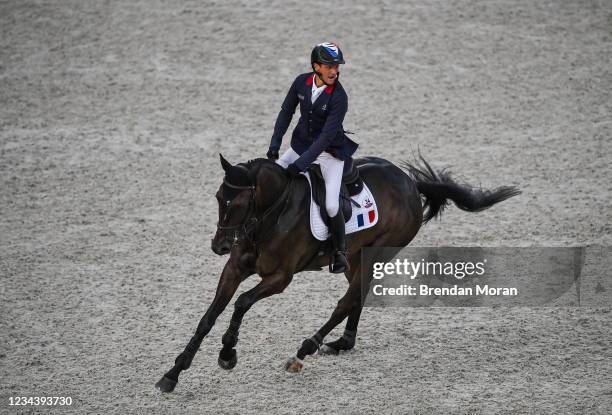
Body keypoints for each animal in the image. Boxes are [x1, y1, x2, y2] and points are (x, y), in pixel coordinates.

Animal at [155, 154, 520, 394]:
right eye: (219, 198)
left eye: (239, 203)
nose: (218, 245)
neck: (271, 214)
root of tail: (410, 183)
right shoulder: (234, 269)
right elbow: (209, 317)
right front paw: (173, 373)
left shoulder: (280, 278)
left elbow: (241, 303)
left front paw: (227, 354)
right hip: (356, 258)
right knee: (357, 295)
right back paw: (342, 343)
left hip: (376, 252)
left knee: (347, 300)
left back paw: (306, 348)